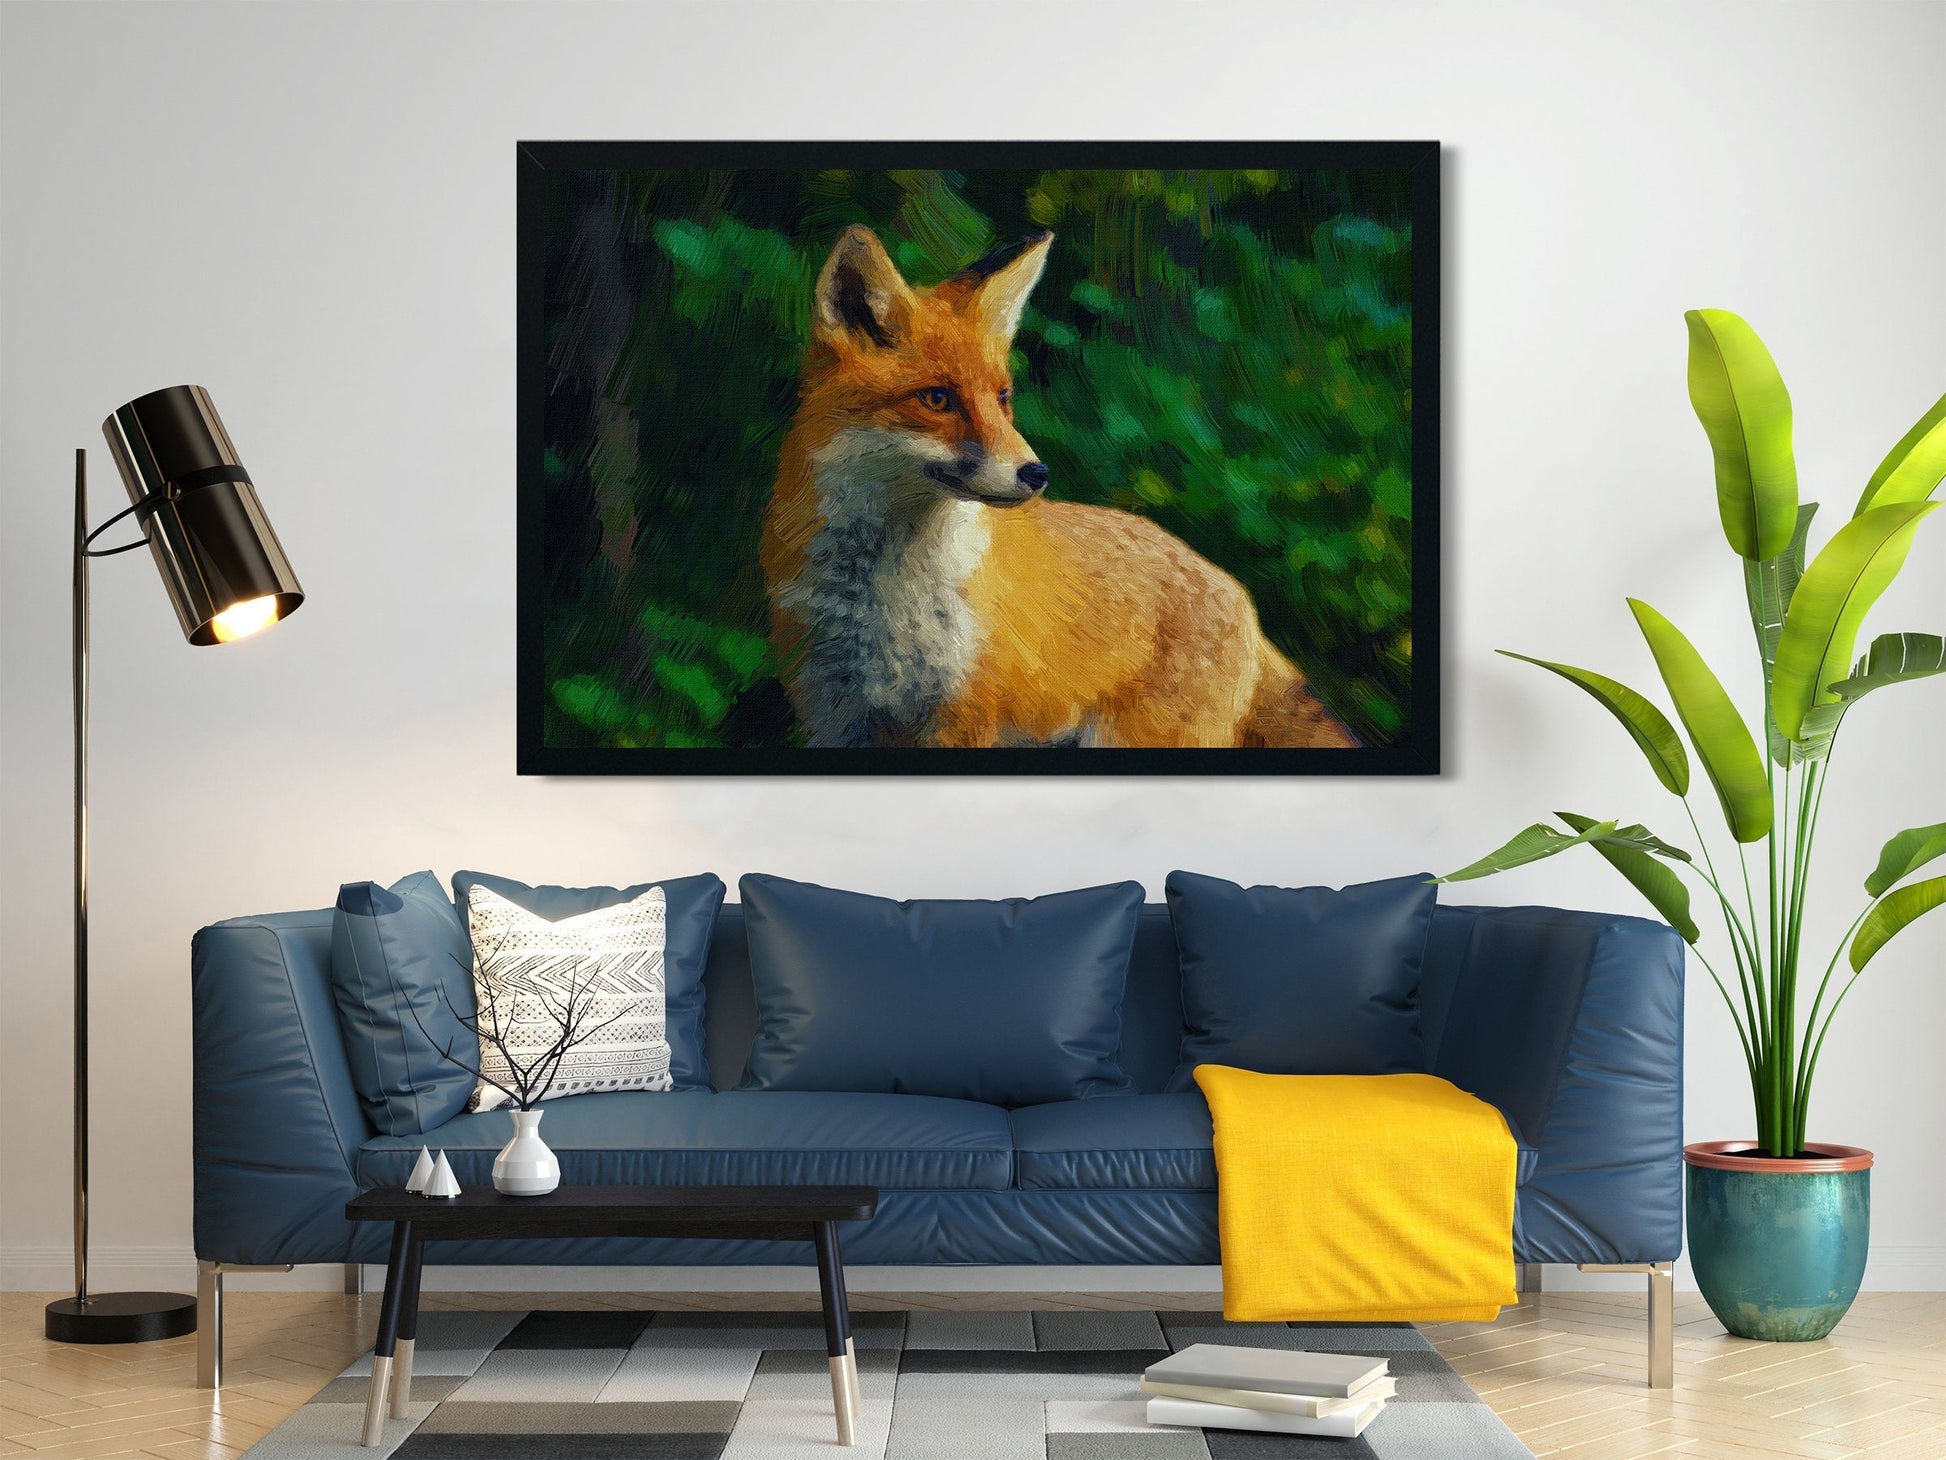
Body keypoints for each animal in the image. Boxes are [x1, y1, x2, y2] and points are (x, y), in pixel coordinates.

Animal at [760, 225, 1357, 750]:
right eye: (937, 399)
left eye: (1002, 397)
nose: (1036, 473)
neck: (881, 596)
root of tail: (1239, 595)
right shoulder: (836, 715)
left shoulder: (963, 716)